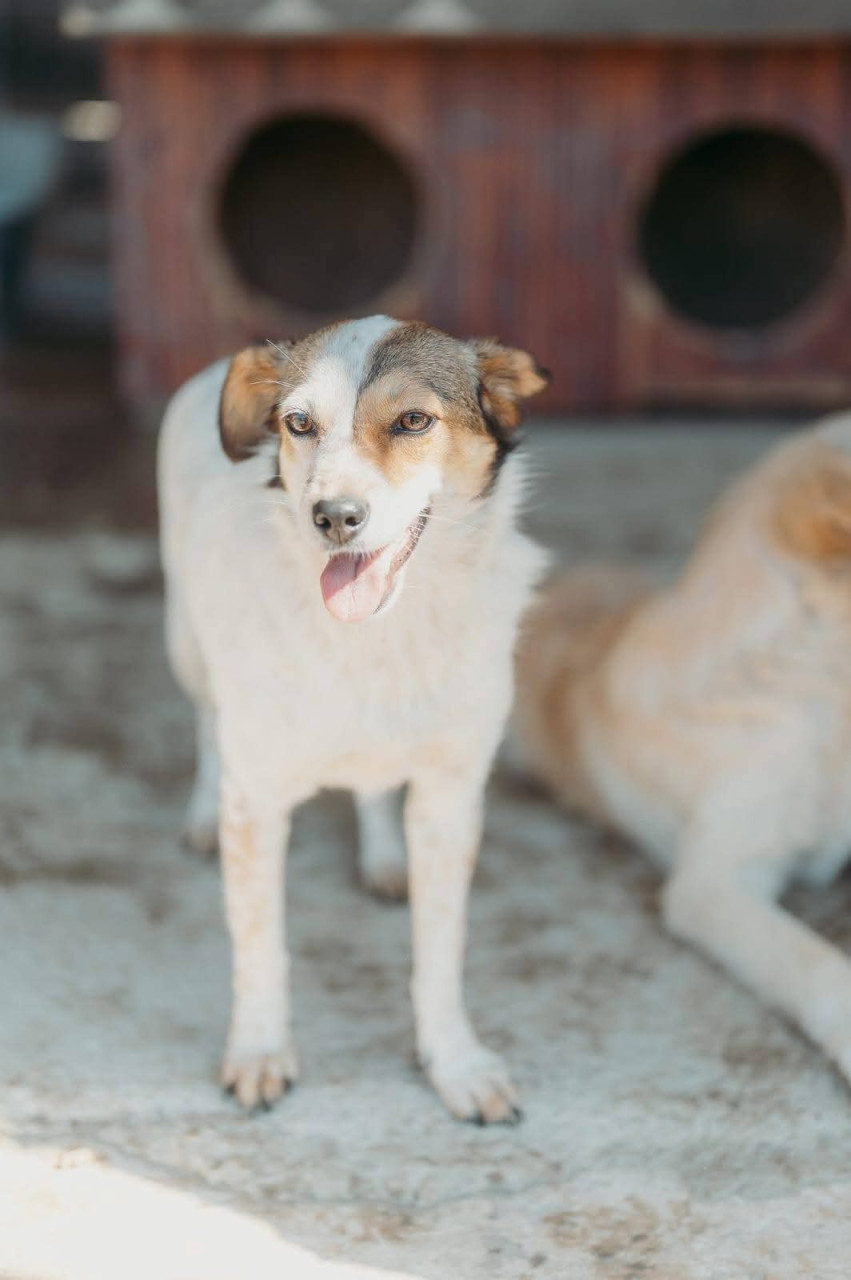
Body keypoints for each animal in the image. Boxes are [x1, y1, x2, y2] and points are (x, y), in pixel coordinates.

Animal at [159, 316, 548, 1122]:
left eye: (413, 421)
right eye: (298, 424)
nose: (334, 517)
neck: (377, 638)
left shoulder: (450, 797)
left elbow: (441, 952)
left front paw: (454, 1061)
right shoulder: (258, 802)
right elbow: (259, 945)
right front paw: (259, 1049)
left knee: (372, 786)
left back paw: (384, 860)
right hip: (185, 639)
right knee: (208, 723)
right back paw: (203, 812)